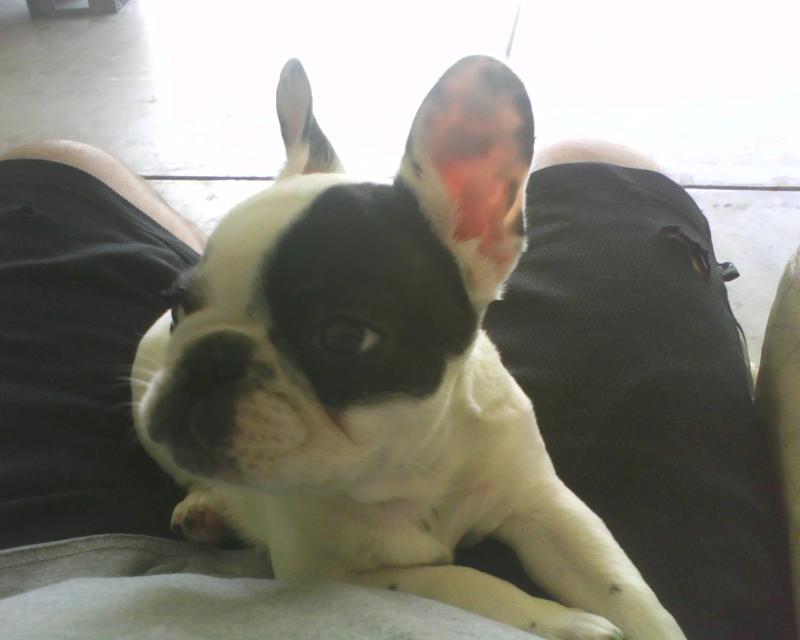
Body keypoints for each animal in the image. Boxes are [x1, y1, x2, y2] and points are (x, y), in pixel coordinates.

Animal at [132, 56, 686, 639]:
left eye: (342, 338)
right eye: (179, 307)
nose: (208, 357)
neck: (411, 465)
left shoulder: (545, 506)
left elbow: (622, 588)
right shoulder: (332, 577)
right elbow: (464, 586)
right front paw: (569, 623)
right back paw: (206, 505)